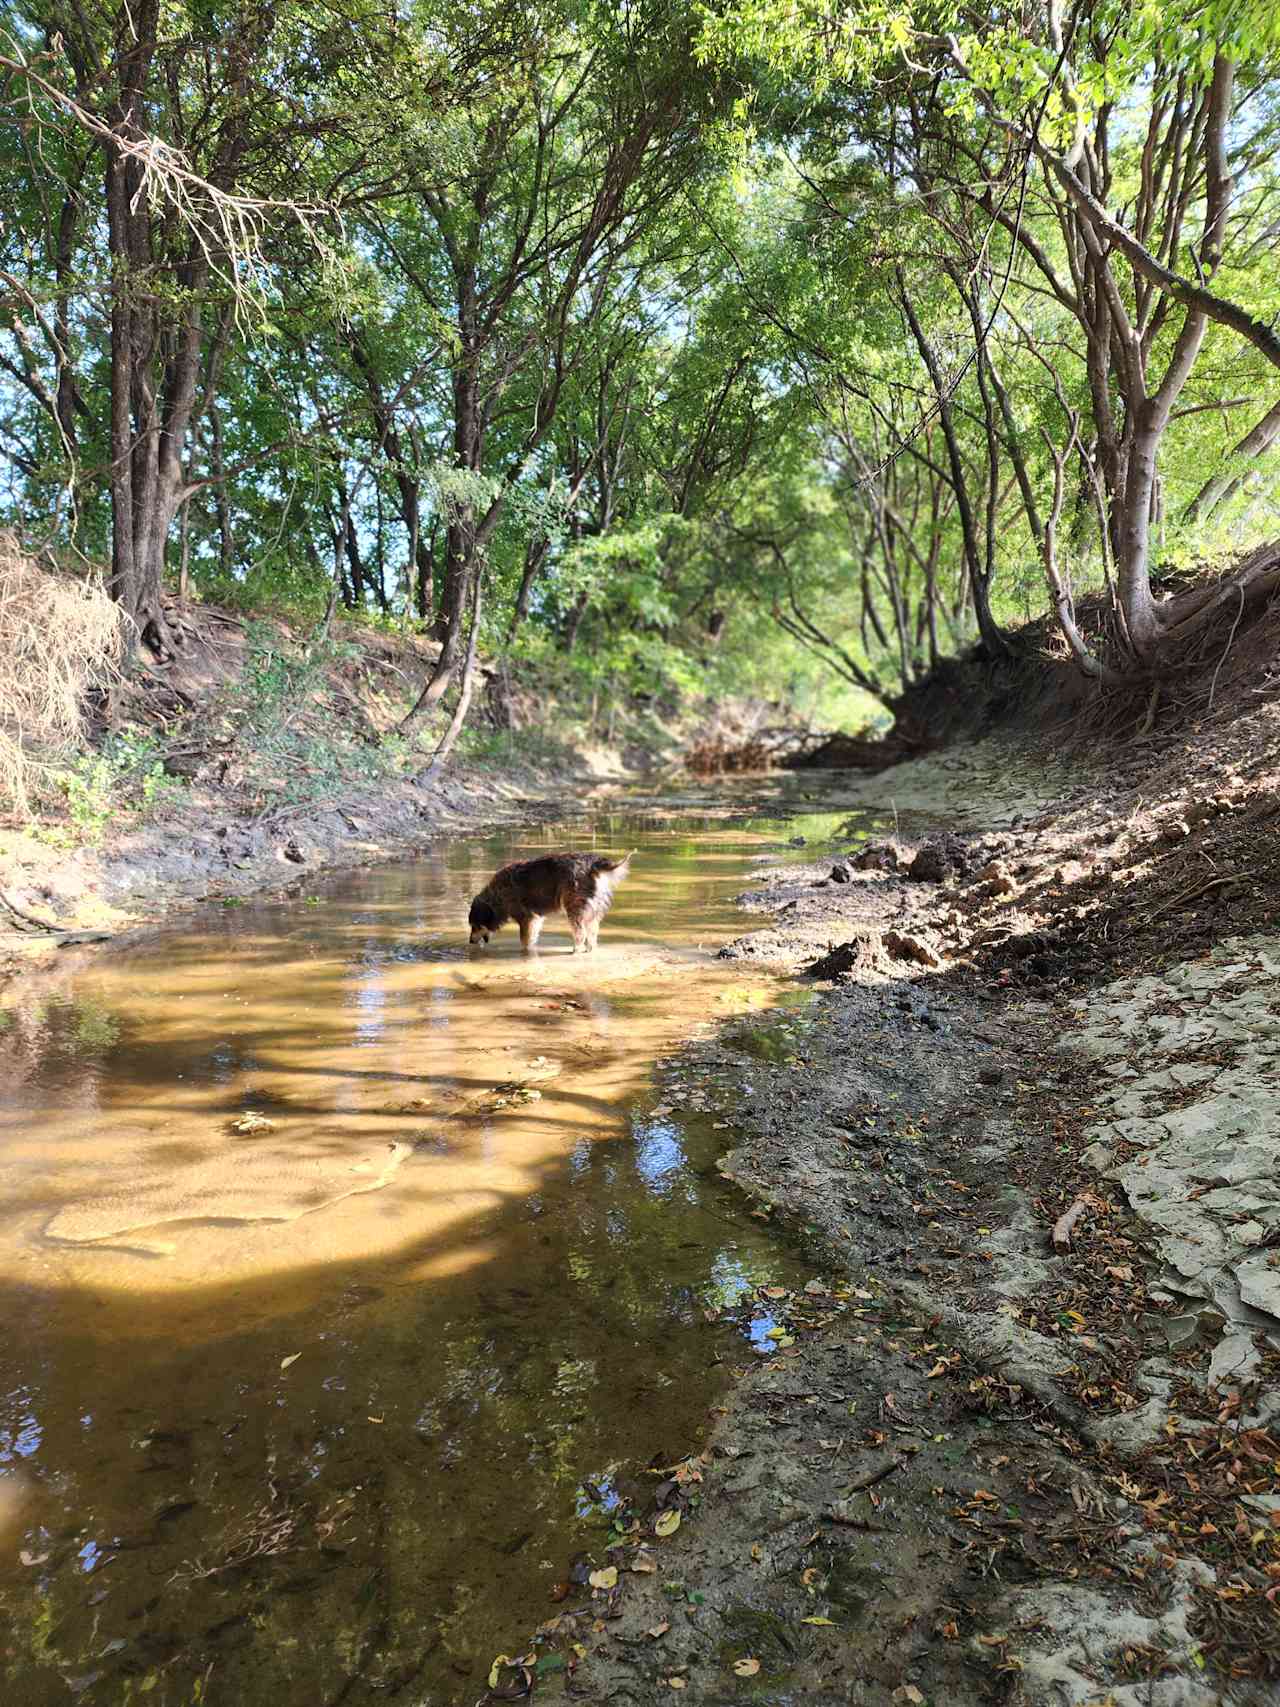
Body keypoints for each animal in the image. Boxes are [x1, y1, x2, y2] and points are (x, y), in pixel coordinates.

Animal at [467, 850, 634, 955]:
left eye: (474, 925)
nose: (470, 941)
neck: (497, 895)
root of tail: (593, 863)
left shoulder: (526, 918)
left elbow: (524, 940)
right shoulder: (535, 918)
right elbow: (531, 938)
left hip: (574, 907)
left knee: (580, 933)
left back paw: (575, 951)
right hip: (592, 911)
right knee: (592, 934)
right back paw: (589, 950)